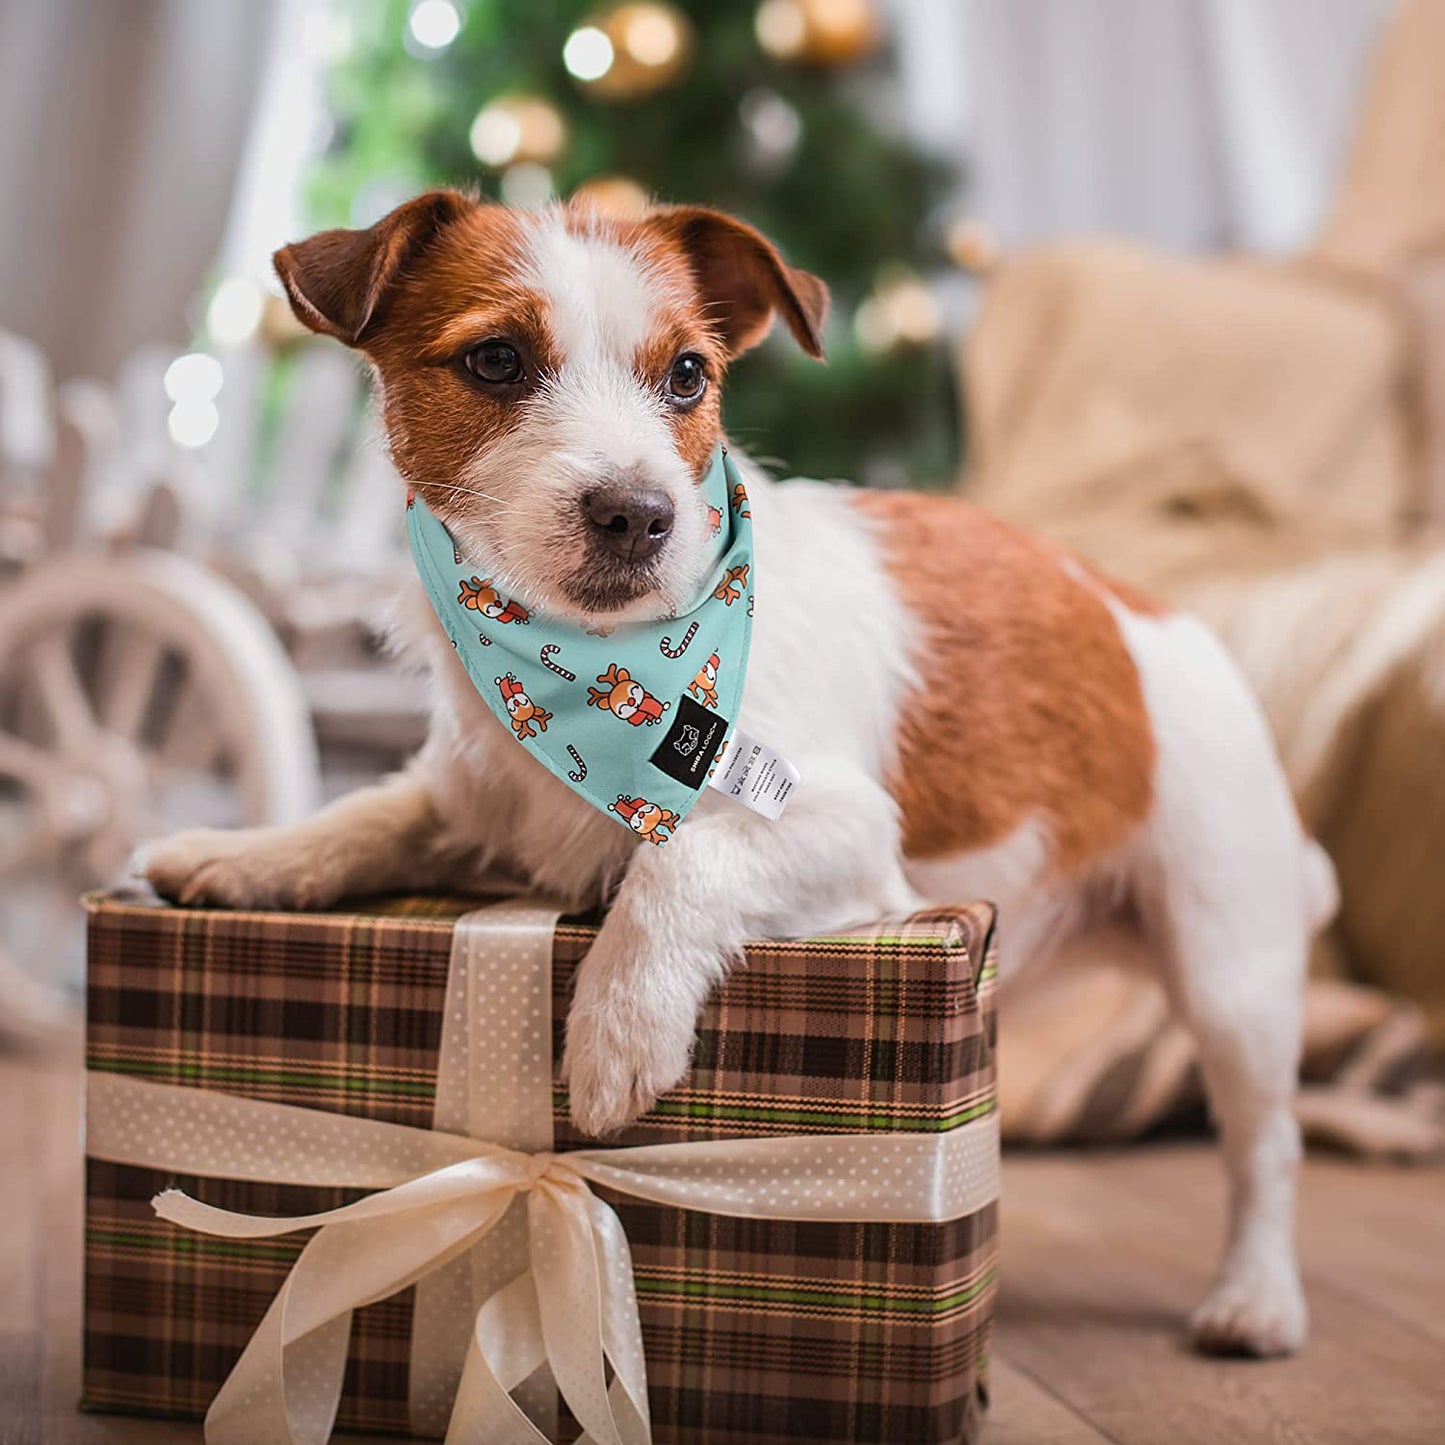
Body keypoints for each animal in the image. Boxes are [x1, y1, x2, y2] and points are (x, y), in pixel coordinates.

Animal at [140, 189, 1335, 1352]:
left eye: (687, 374)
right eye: (495, 361)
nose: (638, 513)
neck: (588, 673)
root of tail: (1159, 614)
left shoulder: (851, 831)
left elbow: (685, 857)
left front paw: (620, 1023)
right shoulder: (479, 798)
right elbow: (375, 814)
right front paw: (249, 853)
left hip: (1228, 964)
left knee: (1263, 1144)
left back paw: (1258, 1295)